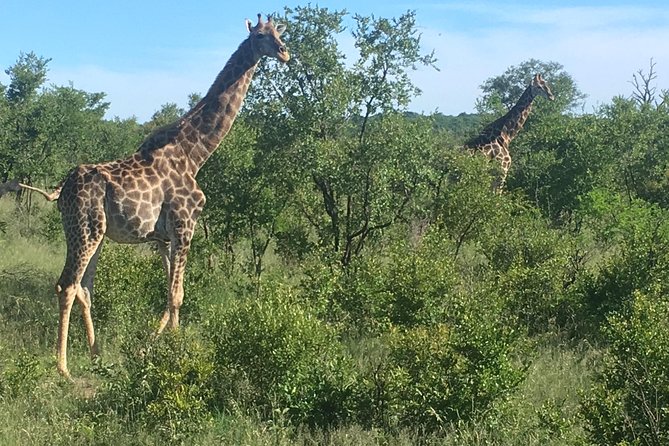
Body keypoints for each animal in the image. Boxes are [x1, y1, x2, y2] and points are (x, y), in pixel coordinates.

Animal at [12, 13, 290, 378]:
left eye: (279, 33)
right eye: (260, 36)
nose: (285, 53)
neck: (194, 153)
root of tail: (62, 190)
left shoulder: (163, 237)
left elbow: (172, 293)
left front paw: (157, 348)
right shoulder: (185, 224)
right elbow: (177, 295)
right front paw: (173, 353)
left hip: (94, 234)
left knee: (85, 287)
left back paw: (97, 357)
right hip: (84, 229)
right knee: (67, 285)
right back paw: (64, 368)